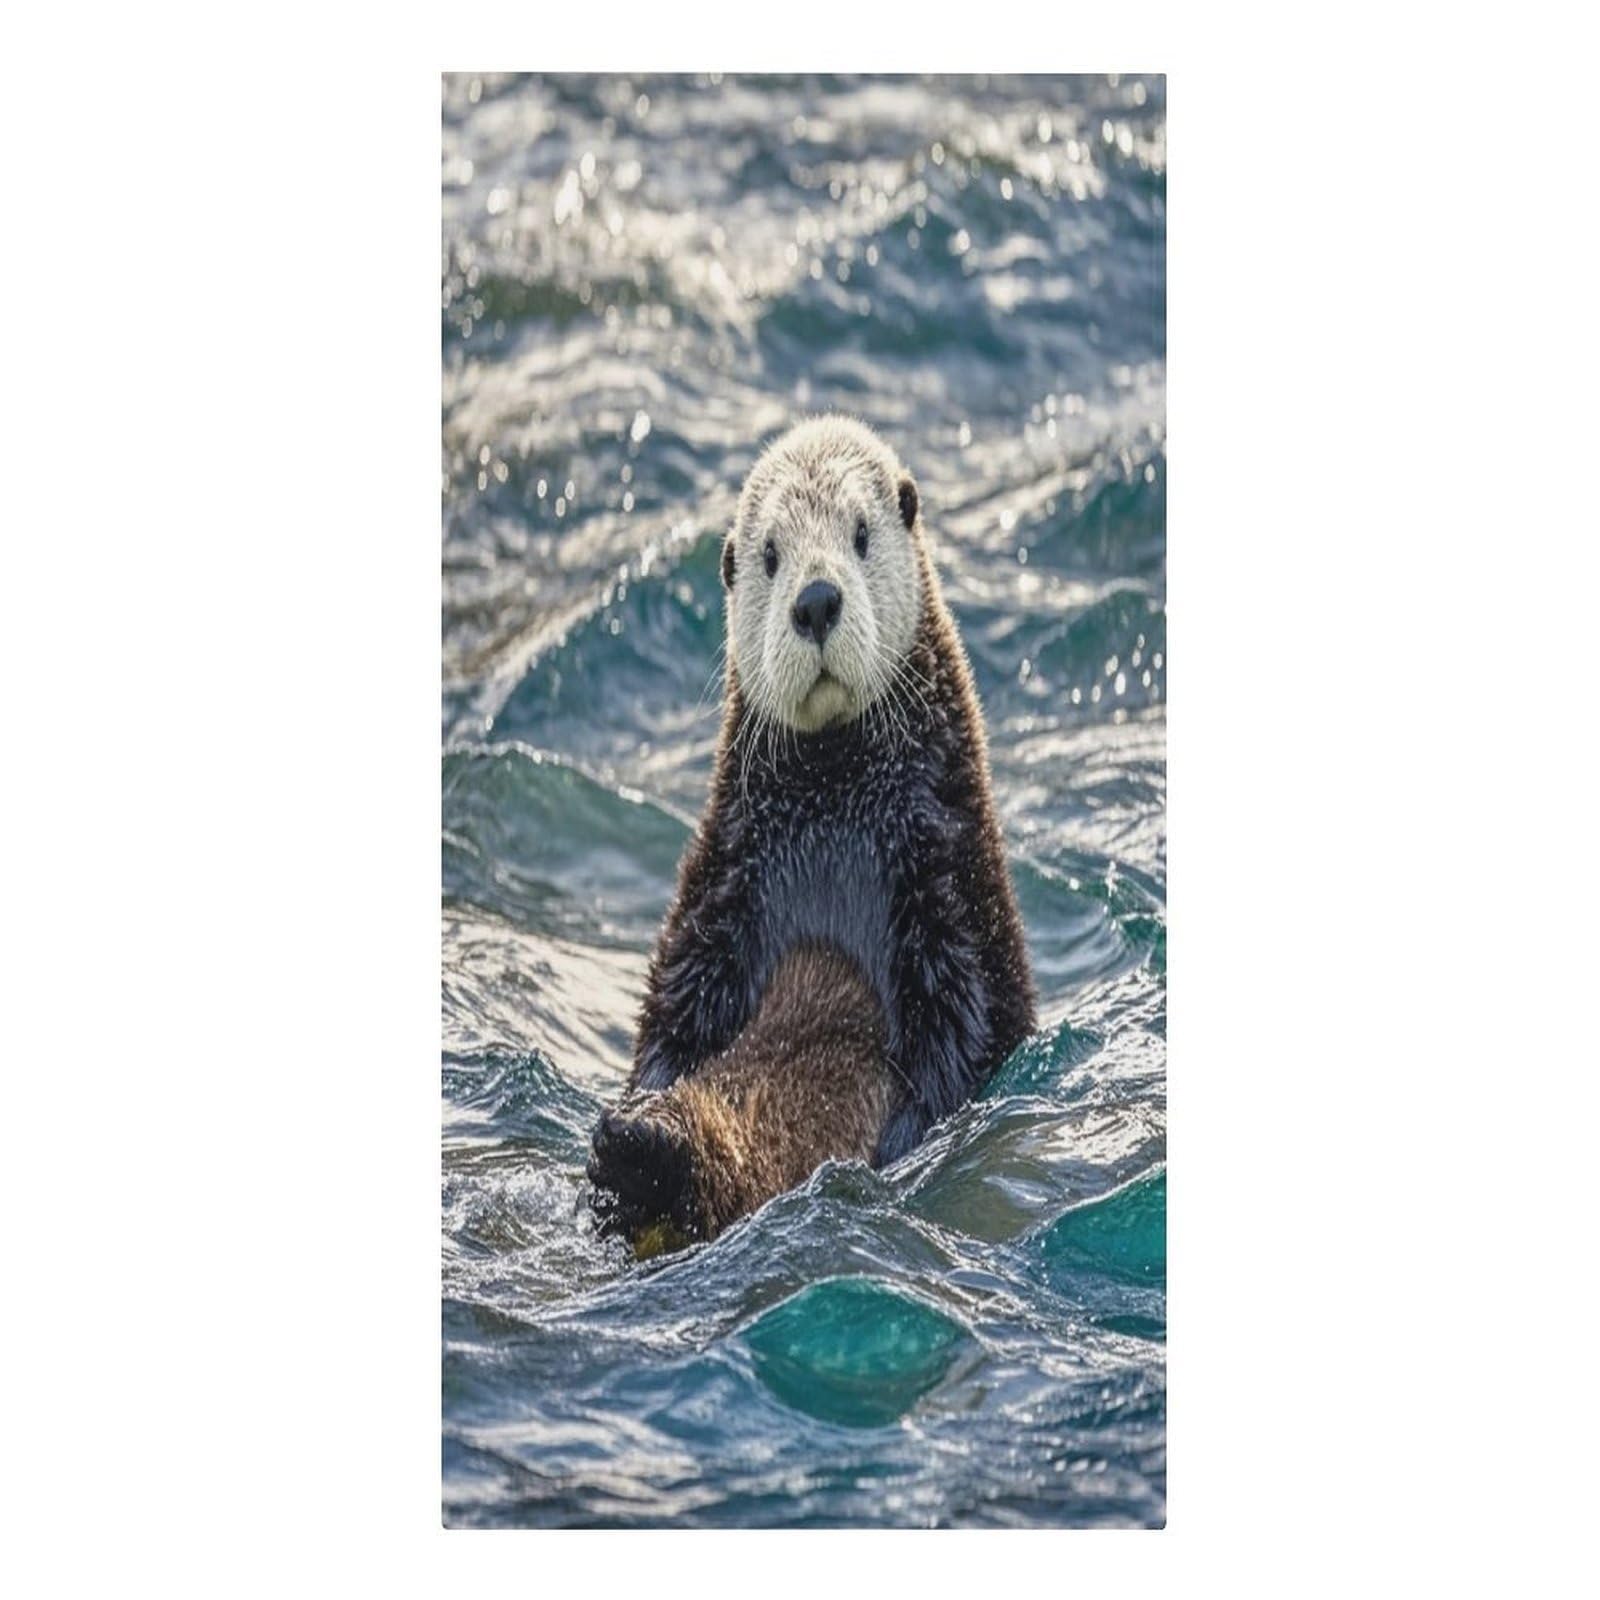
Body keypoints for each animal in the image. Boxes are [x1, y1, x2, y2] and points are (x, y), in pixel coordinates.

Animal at [587, 415, 1035, 1246]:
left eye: (860, 534)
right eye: (770, 555)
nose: (817, 600)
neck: (835, 802)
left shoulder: (949, 880)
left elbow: (960, 1033)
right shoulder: (723, 881)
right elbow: (671, 1017)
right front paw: (633, 1116)